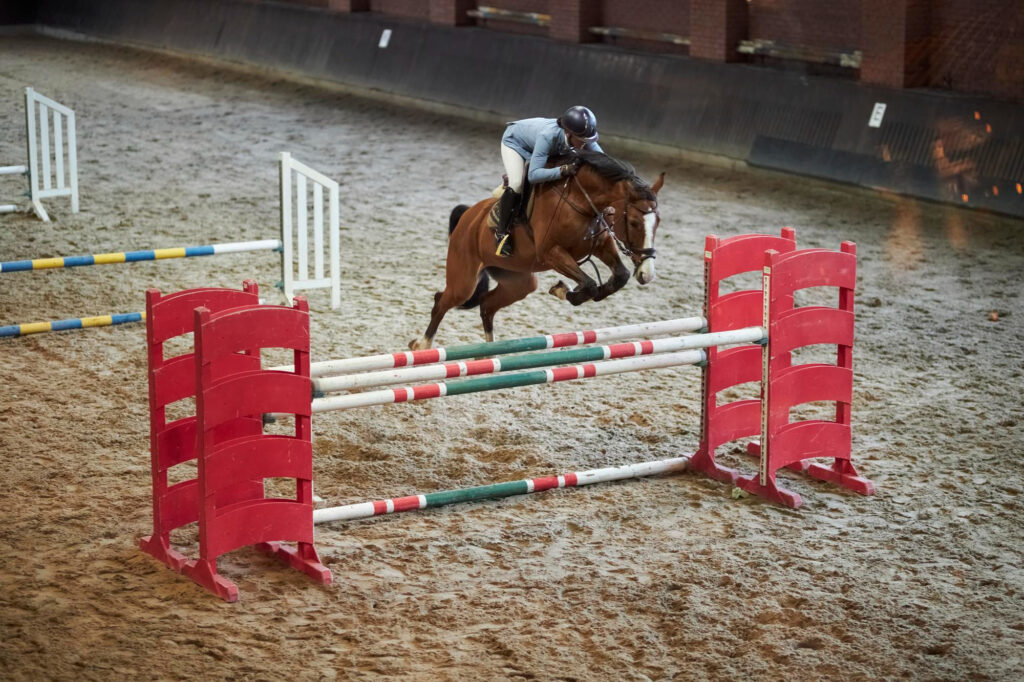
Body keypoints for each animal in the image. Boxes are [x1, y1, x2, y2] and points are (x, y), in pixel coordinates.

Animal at [407, 150, 663, 350]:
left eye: (658, 221)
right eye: (634, 223)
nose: (647, 274)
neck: (580, 201)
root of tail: (468, 216)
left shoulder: (599, 244)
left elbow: (620, 276)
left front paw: (578, 290)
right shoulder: (552, 253)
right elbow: (589, 284)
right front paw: (563, 290)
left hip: (519, 281)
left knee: (487, 304)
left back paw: (490, 353)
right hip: (464, 279)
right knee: (443, 300)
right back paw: (422, 344)